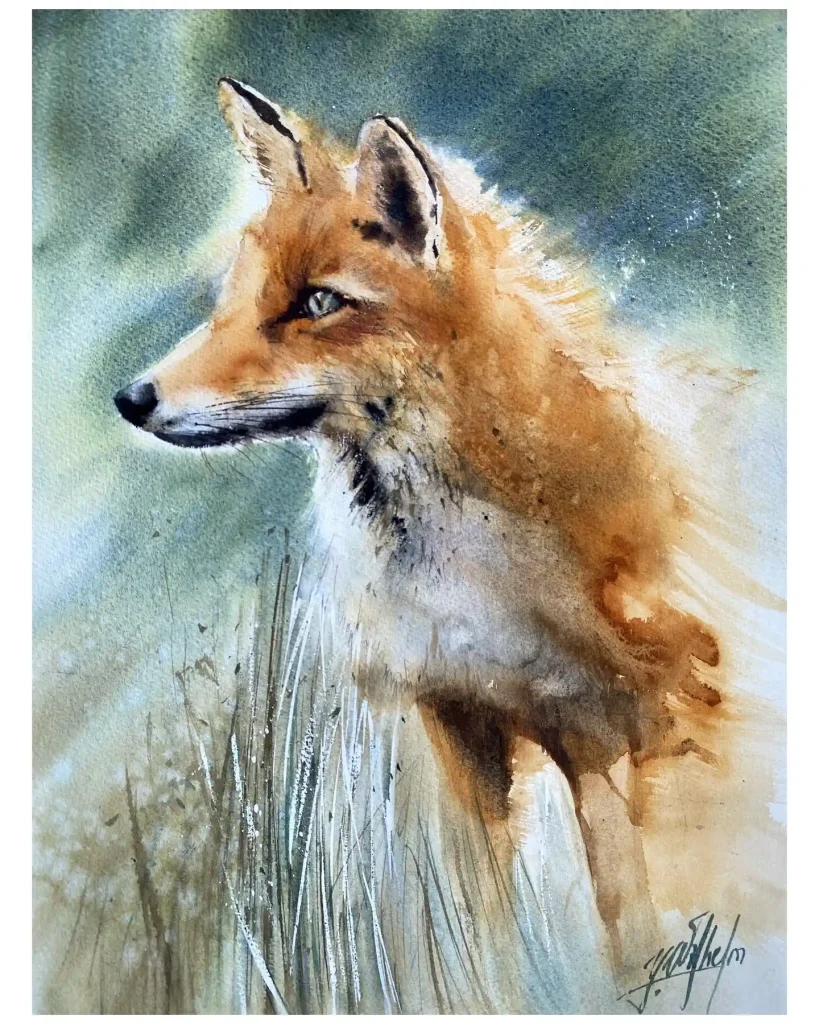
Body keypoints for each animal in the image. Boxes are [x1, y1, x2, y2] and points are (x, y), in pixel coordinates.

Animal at [115, 78, 727, 971]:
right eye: (231, 300)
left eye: (318, 302)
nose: (132, 399)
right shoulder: (458, 722)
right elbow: (481, 923)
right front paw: (496, 986)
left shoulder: (614, 724)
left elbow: (631, 924)